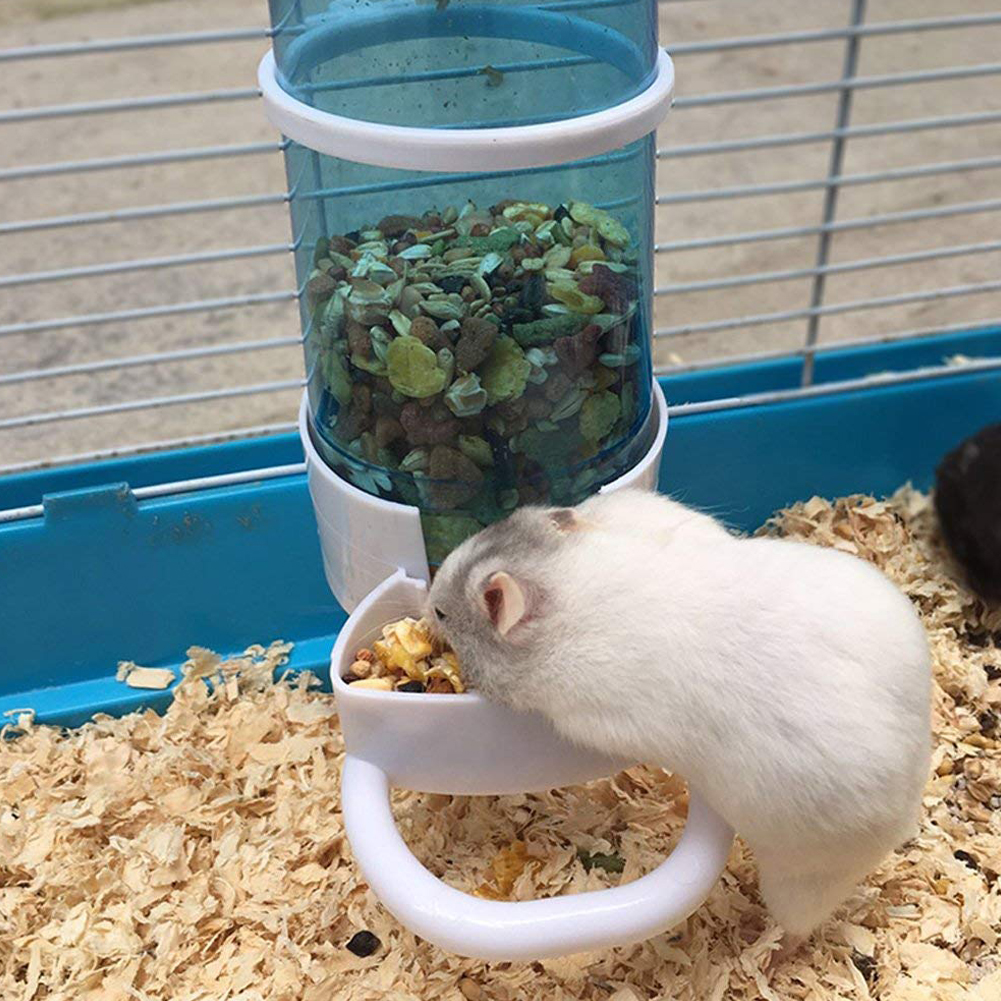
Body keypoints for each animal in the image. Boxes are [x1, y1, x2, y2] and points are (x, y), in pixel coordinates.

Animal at [427, 489, 932, 942]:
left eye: (442, 612)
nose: (429, 598)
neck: (570, 583)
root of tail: (912, 801)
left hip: (803, 875)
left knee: (797, 927)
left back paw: (763, 943)